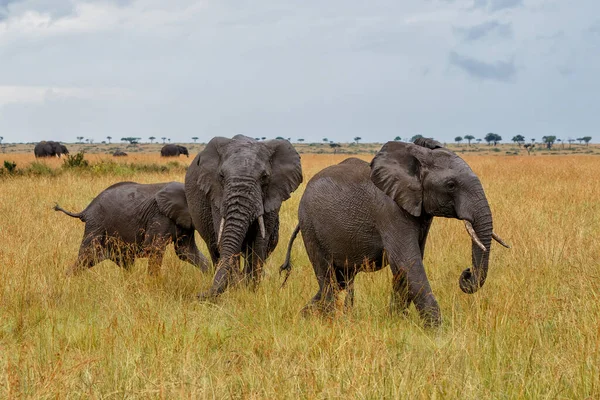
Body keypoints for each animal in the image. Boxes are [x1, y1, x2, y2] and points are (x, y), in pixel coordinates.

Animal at [52, 181, 211, 276]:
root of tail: (86, 210)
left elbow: (186, 252)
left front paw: (210, 276)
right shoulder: (160, 216)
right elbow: (154, 248)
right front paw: (153, 284)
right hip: (96, 224)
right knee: (88, 255)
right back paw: (66, 280)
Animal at [185, 136, 302, 298]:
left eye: (264, 177)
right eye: (221, 176)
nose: (197, 295)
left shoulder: (273, 194)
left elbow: (259, 242)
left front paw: (250, 290)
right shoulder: (217, 195)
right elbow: (225, 239)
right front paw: (236, 289)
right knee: (213, 248)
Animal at [278, 139, 508, 326]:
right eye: (451, 185)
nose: (467, 273)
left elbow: (405, 267)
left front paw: (396, 322)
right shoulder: (389, 210)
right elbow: (408, 262)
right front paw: (436, 332)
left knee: (339, 280)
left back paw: (305, 316)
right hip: (310, 226)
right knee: (328, 279)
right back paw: (325, 320)